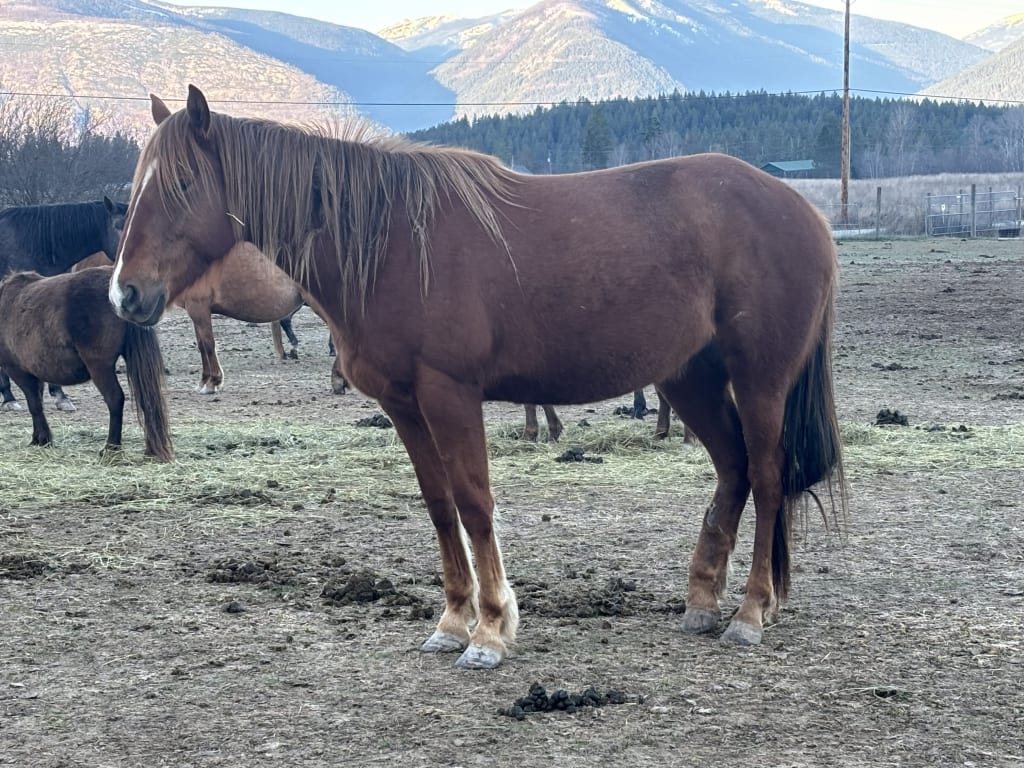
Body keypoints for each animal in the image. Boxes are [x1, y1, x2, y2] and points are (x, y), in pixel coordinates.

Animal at [0, 266, 172, 460]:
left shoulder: (18, 371)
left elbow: (34, 404)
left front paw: (41, 439)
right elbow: (37, 402)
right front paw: (41, 438)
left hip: (99, 367)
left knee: (114, 398)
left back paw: (111, 447)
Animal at [109, 86, 845, 669]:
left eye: (181, 186)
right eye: (134, 188)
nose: (126, 294)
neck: (390, 242)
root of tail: (805, 211)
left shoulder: (450, 394)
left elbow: (474, 504)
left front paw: (490, 631)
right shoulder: (404, 404)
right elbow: (439, 506)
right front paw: (452, 620)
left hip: (760, 381)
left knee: (769, 476)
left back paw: (750, 612)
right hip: (690, 379)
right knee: (734, 469)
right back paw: (702, 602)